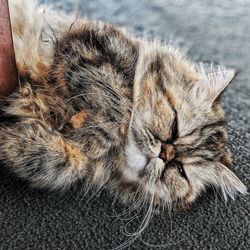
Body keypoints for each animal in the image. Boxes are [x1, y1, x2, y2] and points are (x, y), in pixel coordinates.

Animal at [0, 0, 246, 211]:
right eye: (174, 125)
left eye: (180, 169)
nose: (164, 153)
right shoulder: (88, 42)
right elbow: (121, 107)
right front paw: (89, 140)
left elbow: (67, 166)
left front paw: (17, 142)